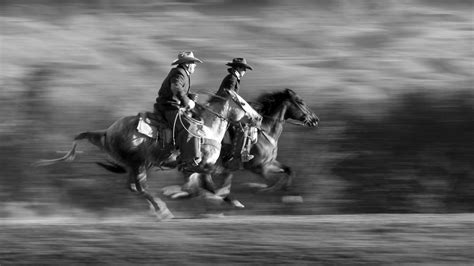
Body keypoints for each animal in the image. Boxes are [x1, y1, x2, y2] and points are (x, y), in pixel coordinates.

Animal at [34, 89, 262, 220]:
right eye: (242, 103)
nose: (258, 118)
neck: (207, 128)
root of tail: (107, 132)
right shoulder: (199, 165)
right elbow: (204, 186)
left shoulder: (198, 168)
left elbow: (206, 186)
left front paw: (230, 203)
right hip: (139, 165)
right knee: (141, 188)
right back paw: (162, 211)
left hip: (135, 166)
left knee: (133, 187)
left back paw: (156, 208)